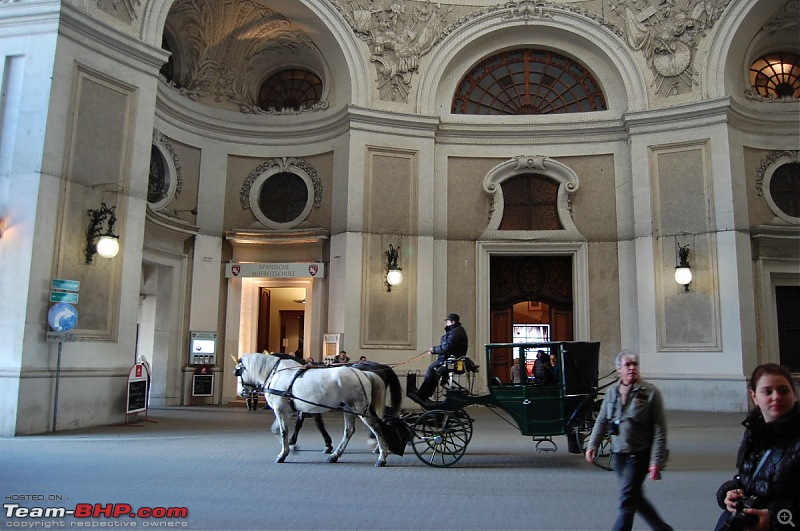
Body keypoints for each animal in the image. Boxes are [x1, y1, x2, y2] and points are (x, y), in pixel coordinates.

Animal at [234, 356, 396, 468]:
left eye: (238, 371)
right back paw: (335, 455)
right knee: (349, 431)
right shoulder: (291, 410)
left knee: (376, 428)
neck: (277, 374)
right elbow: (279, 429)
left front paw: (284, 453)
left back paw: (382, 457)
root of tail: (362, 373)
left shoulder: (281, 410)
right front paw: (292, 446)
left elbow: (283, 431)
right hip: (349, 409)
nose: (242, 392)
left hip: (359, 409)